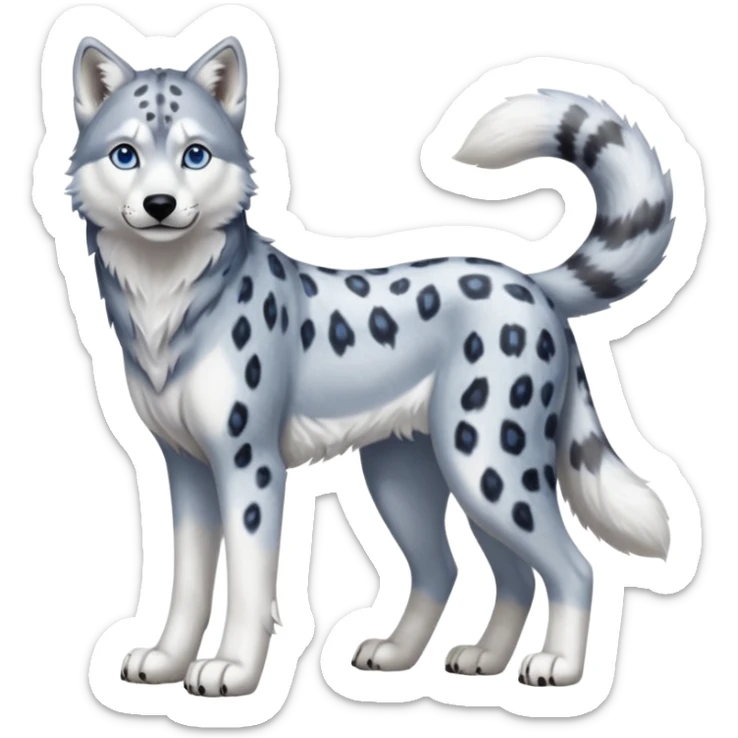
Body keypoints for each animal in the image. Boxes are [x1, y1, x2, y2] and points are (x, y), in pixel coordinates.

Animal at [66, 36, 673, 697]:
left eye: (195, 154)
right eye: (124, 154)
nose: (160, 204)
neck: (166, 299)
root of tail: (529, 281)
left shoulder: (250, 465)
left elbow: (249, 580)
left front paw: (233, 668)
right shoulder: (185, 466)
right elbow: (187, 582)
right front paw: (167, 660)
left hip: (488, 466)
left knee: (571, 567)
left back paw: (557, 665)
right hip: (416, 476)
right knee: (472, 571)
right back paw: (451, 656)